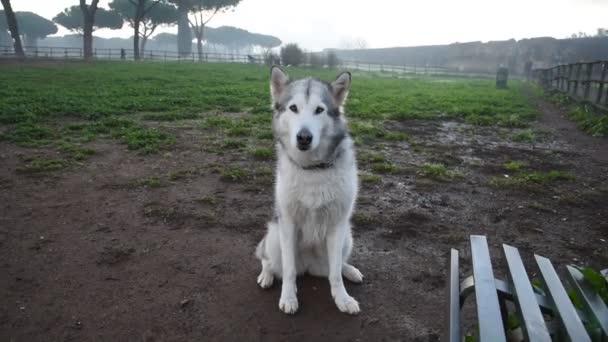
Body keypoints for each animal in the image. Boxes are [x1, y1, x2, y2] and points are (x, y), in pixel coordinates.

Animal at [254, 65, 364, 314]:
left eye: (319, 110)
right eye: (293, 108)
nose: (304, 137)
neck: (313, 169)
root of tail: (308, 266)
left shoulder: (337, 225)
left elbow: (335, 274)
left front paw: (342, 299)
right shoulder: (287, 223)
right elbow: (288, 271)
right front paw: (288, 297)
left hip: (347, 237)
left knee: (336, 266)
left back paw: (350, 270)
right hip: (274, 237)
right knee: (269, 260)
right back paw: (267, 275)